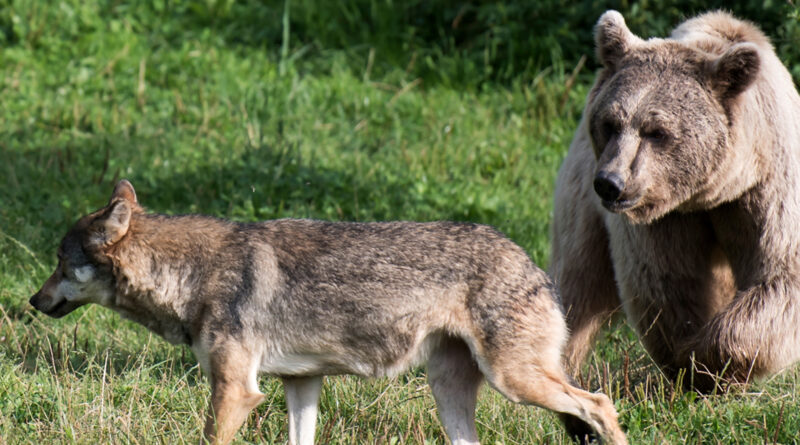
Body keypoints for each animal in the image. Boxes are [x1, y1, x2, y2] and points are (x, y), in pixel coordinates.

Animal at [29, 180, 624, 444]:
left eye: (60, 262)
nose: (31, 302)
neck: (192, 275)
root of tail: (531, 264)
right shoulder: (302, 384)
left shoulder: (235, 391)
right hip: (454, 394)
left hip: (515, 381)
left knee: (599, 403)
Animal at [552, 10, 800, 390]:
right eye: (611, 123)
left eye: (657, 132)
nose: (610, 183)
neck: (708, 196)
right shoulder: (662, 218)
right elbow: (668, 283)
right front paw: (690, 362)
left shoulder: (767, 190)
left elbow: (778, 275)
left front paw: (711, 361)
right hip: (580, 195)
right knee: (576, 279)